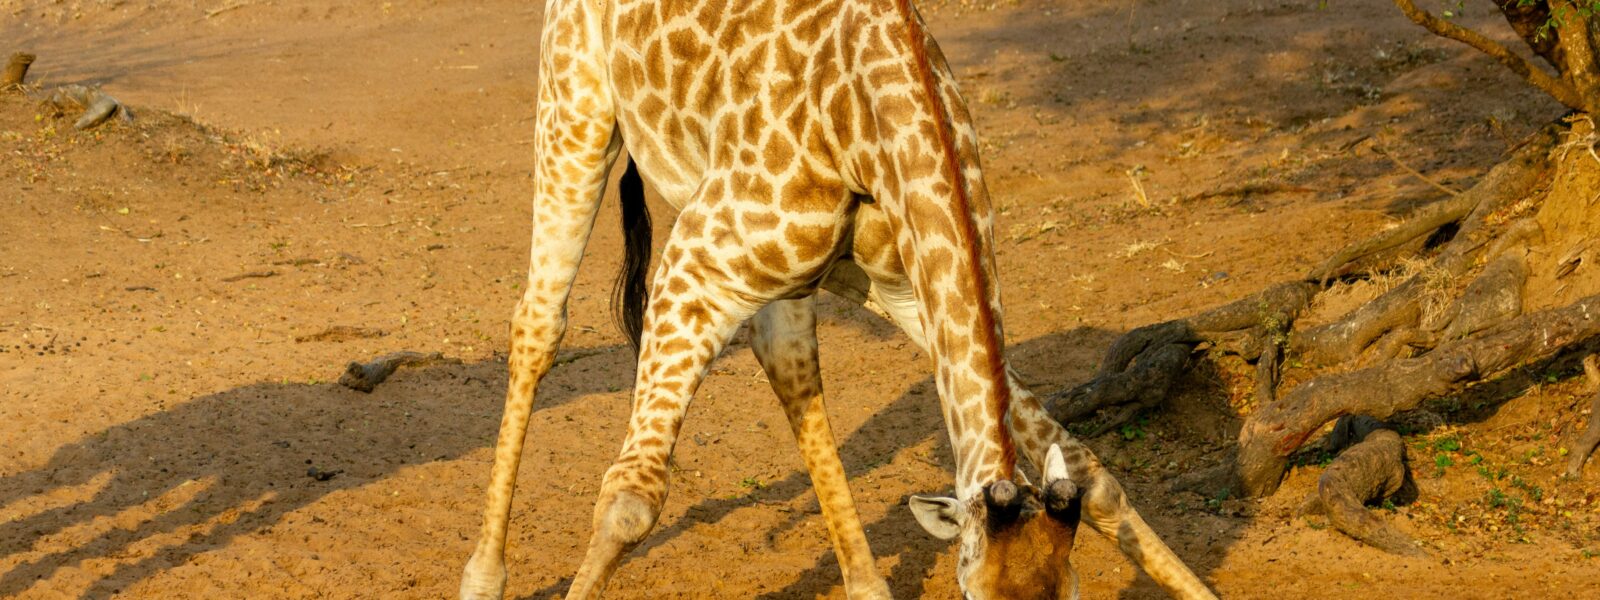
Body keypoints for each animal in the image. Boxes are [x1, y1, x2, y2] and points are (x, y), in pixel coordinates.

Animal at [460, 1, 1218, 599]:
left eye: (1071, 594)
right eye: (971, 594)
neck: (880, 110)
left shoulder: (909, 288)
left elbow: (1093, 471)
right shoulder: (690, 269)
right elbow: (630, 499)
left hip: (806, 274)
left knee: (791, 370)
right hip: (575, 107)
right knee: (539, 326)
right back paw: (481, 578)